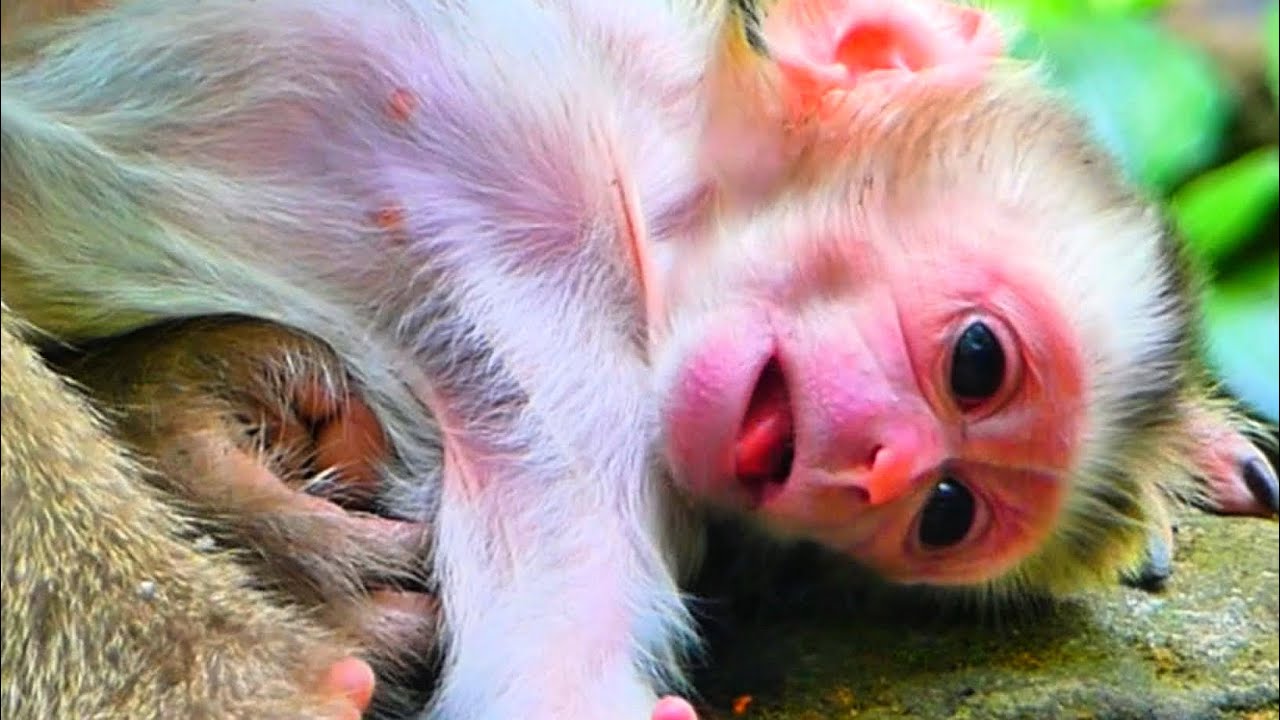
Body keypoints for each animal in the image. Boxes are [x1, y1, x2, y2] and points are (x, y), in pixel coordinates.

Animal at [2, 1, 1277, 719]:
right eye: (976, 361)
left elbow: (548, 669)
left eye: (945, 515)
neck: (628, 214)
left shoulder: (586, 417)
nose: (879, 470)